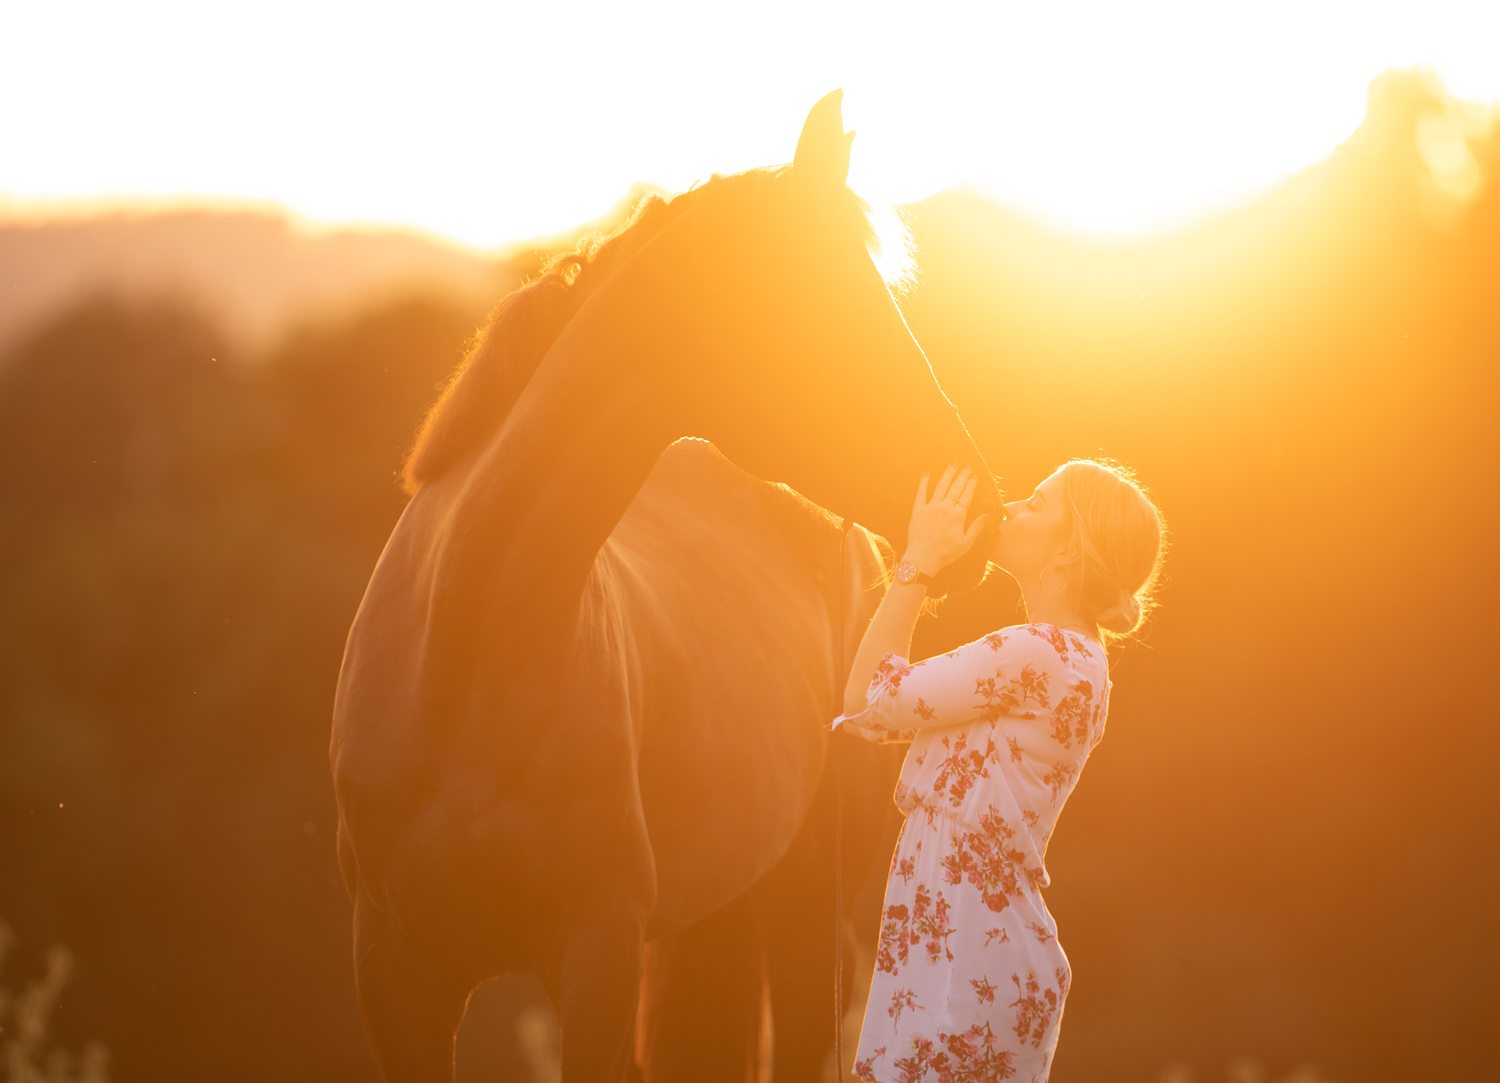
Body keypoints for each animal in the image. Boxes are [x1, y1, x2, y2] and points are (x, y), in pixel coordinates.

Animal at [333, 94, 1002, 1080]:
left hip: (811, 905)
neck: (467, 653)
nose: (979, 507)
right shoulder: (394, 976)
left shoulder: (598, 961)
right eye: (823, 313)